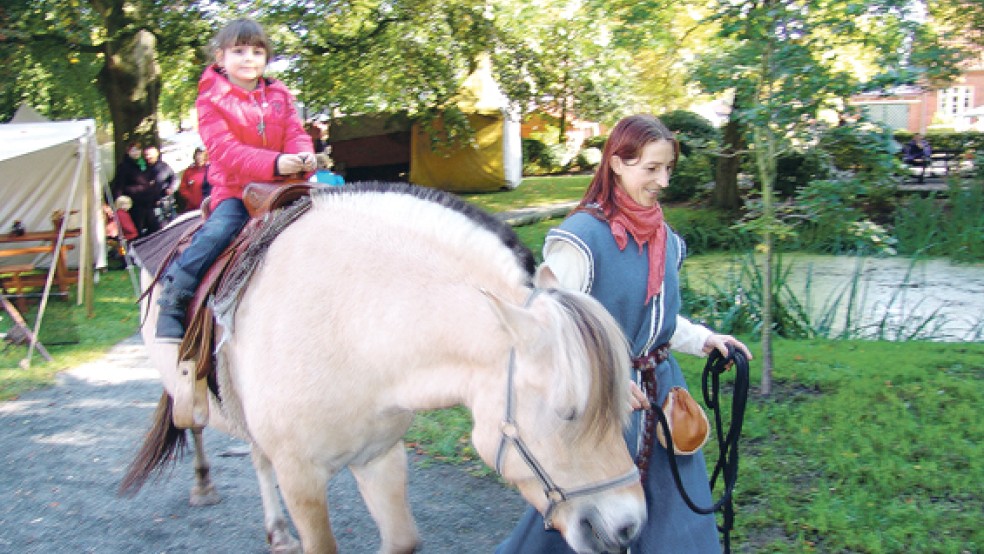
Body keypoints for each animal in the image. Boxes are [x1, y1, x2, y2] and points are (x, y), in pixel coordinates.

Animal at [121, 183, 644, 552]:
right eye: (568, 411)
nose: (628, 525)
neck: (352, 325)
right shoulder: (302, 479)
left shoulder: (380, 458)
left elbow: (402, 540)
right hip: (186, 387)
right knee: (194, 425)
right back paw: (203, 484)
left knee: (255, 453)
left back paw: (277, 532)